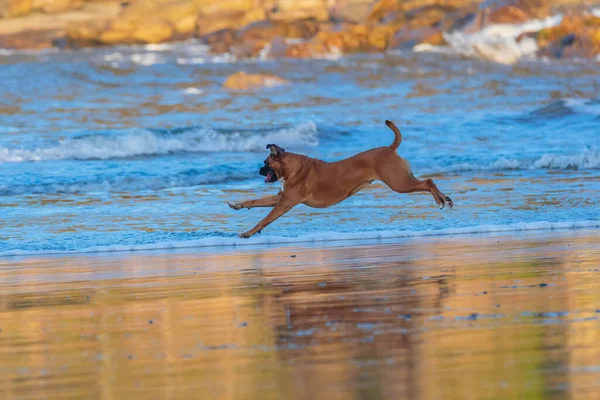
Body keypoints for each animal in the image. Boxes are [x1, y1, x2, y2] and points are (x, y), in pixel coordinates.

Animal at [227, 119, 452, 238]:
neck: (293, 167)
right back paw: (445, 199)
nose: (258, 170)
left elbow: (263, 220)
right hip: (404, 179)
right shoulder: (280, 198)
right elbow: (254, 201)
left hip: (400, 183)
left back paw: (441, 200)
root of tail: (389, 149)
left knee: (428, 182)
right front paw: (238, 205)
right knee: (427, 182)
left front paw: (248, 232)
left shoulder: (284, 204)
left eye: (265, 163)